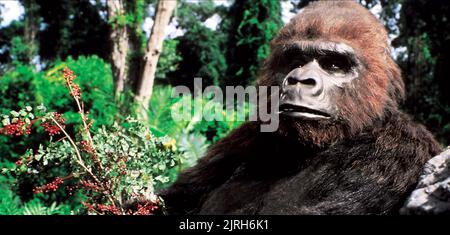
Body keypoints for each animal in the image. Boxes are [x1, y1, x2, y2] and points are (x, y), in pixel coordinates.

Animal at [160, 0, 442, 214]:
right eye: (295, 60)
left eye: (334, 65)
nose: (299, 79)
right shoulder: (247, 133)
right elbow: (172, 200)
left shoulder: (398, 149)